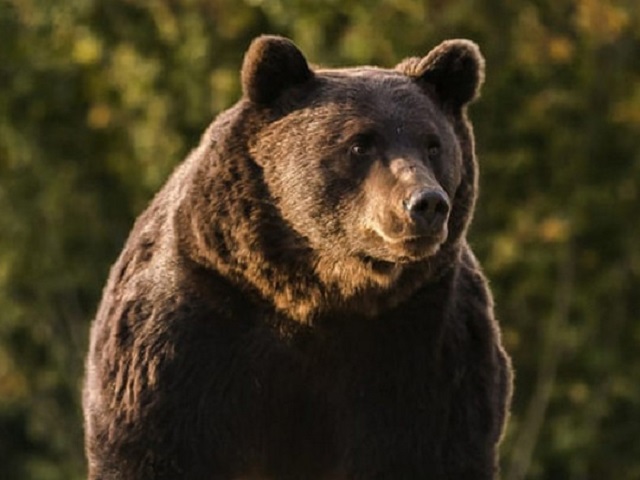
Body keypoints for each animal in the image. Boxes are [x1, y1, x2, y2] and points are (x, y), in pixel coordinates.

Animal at [85, 34, 512, 480]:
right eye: (359, 143)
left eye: (433, 144)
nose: (426, 203)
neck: (318, 293)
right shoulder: (191, 329)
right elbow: (156, 440)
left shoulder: (426, 347)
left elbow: (431, 444)